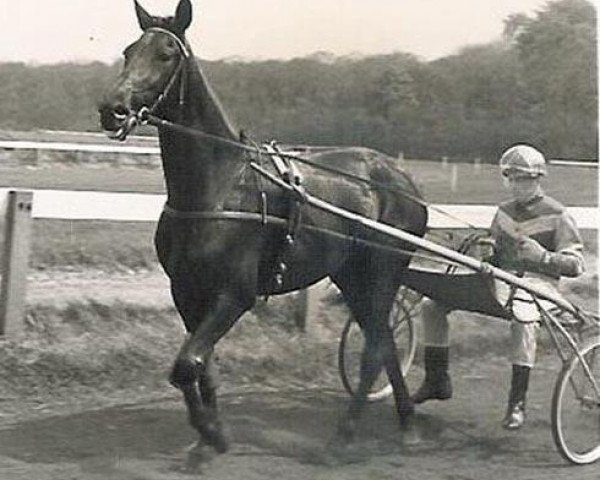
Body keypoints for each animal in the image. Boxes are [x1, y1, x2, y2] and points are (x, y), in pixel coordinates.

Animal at [97, 0, 426, 456]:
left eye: (166, 54)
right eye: (129, 51)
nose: (112, 109)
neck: (218, 188)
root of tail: (403, 180)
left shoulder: (236, 294)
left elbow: (185, 366)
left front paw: (210, 432)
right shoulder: (186, 292)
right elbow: (200, 368)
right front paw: (210, 435)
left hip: (382, 272)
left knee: (376, 347)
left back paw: (346, 433)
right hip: (351, 275)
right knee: (385, 342)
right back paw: (407, 423)